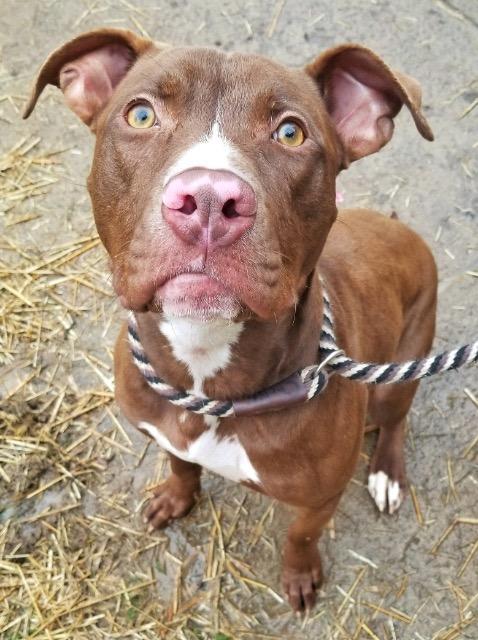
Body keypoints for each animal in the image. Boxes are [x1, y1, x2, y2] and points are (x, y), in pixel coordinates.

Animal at [25, 27, 436, 612]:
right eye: (141, 114)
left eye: (290, 132)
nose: (209, 198)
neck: (206, 370)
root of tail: (403, 231)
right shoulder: (164, 430)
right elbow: (179, 463)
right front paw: (176, 497)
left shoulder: (320, 496)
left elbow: (300, 535)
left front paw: (300, 576)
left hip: (402, 364)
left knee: (396, 417)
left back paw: (386, 474)